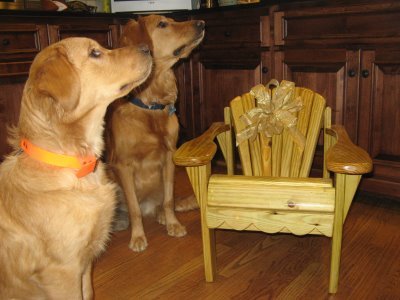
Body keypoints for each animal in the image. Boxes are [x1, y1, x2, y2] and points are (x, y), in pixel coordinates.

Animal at [105, 15, 205, 252]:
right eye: (162, 24)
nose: (202, 23)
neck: (150, 104)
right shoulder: (123, 165)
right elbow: (134, 209)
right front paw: (138, 237)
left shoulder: (169, 157)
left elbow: (168, 201)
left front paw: (172, 224)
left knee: (165, 201)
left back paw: (160, 215)